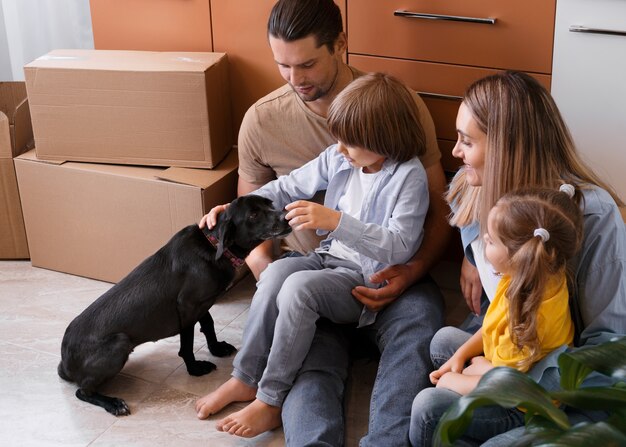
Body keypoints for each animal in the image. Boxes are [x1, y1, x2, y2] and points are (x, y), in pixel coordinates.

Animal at [58, 195, 290, 416]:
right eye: (253, 215)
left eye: (270, 203)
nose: (285, 215)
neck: (213, 245)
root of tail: (64, 362)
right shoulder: (187, 306)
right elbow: (187, 343)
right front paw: (194, 368)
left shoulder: (201, 304)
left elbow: (209, 324)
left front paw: (216, 348)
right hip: (119, 343)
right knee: (83, 391)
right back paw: (113, 403)